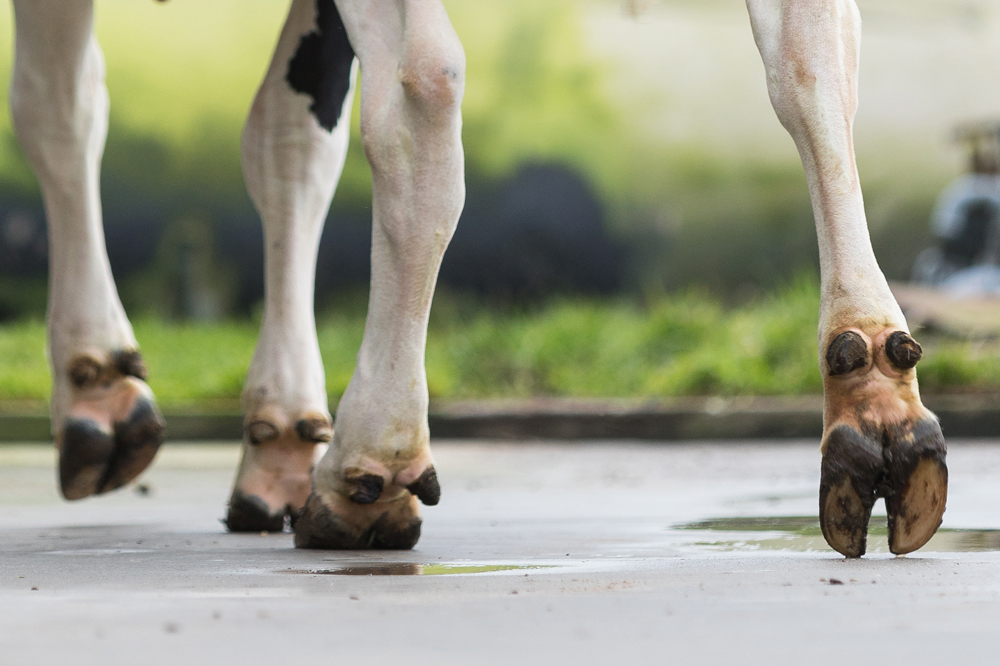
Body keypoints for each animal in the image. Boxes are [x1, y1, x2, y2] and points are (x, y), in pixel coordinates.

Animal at [7, 0, 944, 556]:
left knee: (419, 88)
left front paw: (95, 383)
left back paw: (369, 462)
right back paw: (874, 392)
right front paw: (278, 434)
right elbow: (290, 138)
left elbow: (58, 103)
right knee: (813, 48)